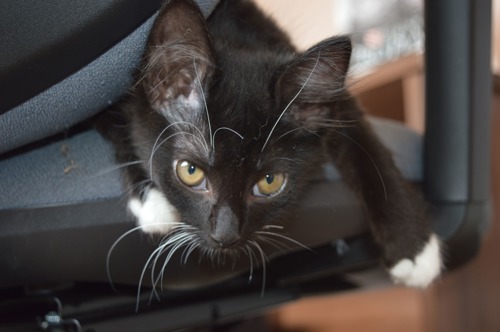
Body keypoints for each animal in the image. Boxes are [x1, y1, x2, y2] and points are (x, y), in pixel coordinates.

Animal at [98, 0, 442, 286]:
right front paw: (150, 199)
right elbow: (112, 119)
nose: (225, 236)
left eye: (269, 181)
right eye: (190, 171)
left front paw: (414, 246)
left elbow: (365, 142)